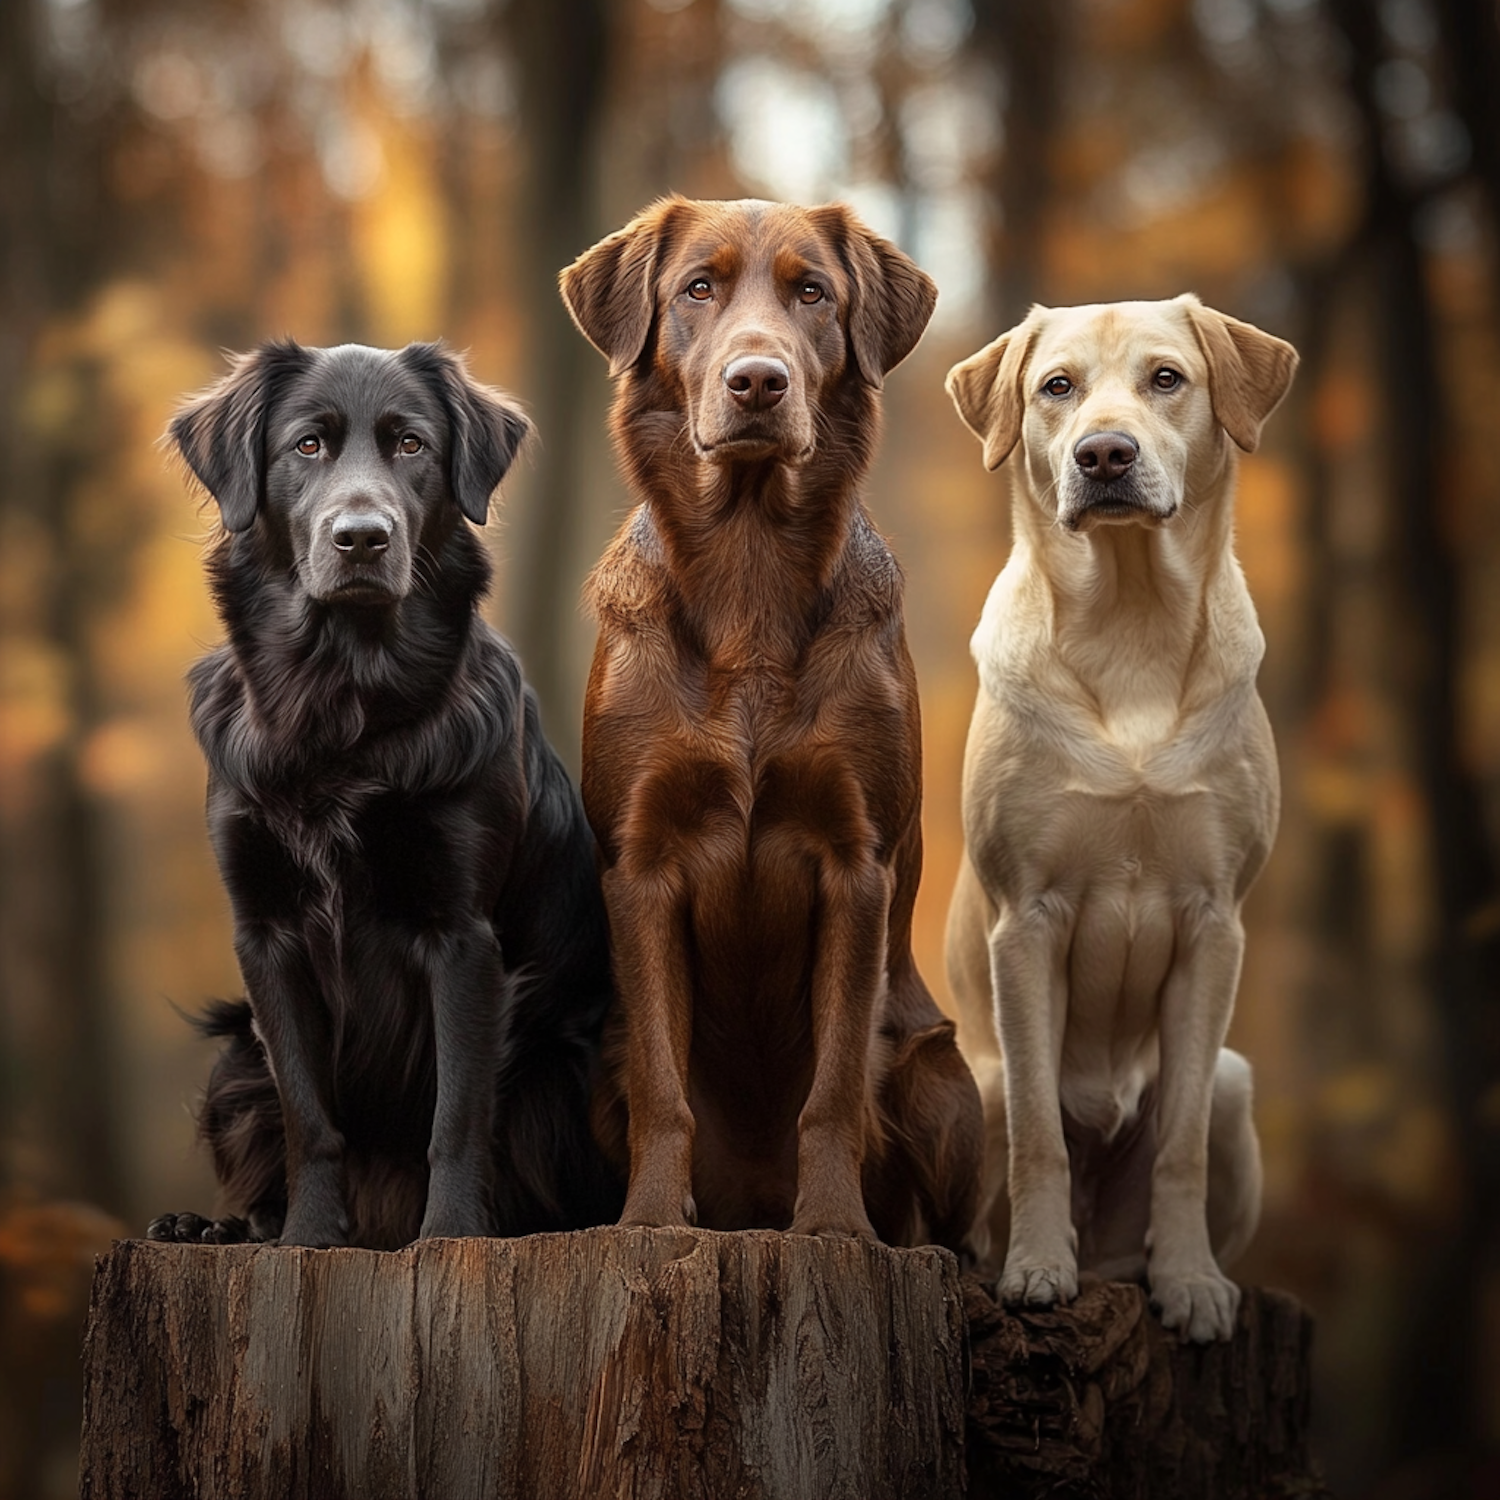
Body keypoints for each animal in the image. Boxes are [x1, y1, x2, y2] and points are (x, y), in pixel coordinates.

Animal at [149, 345, 618, 1248]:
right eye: (306, 446)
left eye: (411, 445)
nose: (362, 538)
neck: (342, 696)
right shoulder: (266, 935)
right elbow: (309, 1114)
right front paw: (305, 1238)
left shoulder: (462, 935)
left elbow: (458, 1111)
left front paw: (451, 1235)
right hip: (233, 1056)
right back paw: (221, 1228)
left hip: (574, 1053)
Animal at [942, 292, 1296, 1338]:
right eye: (1056, 387)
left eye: (1166, 378)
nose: (1103, 453)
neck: (1131, 620)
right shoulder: (1025, 923)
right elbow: (1038, 1136)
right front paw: (1033, 1268)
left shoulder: (1217, 924)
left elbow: (1180, 1146)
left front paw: (1191, 1283)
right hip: (969, 1079)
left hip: (1235, 1085)